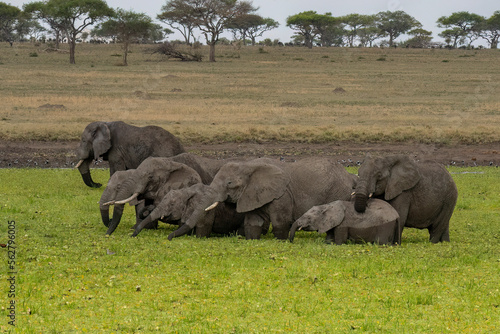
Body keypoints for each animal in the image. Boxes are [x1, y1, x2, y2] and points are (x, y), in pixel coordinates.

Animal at [197, 157, 358, 239]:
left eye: (229, 183)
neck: (248, 165)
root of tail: (348, 175)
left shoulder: (282, 195)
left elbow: (280, 221)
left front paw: (281, 240)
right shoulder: (252, 194)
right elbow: (252, 221)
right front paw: (252, 239)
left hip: (338, 191)